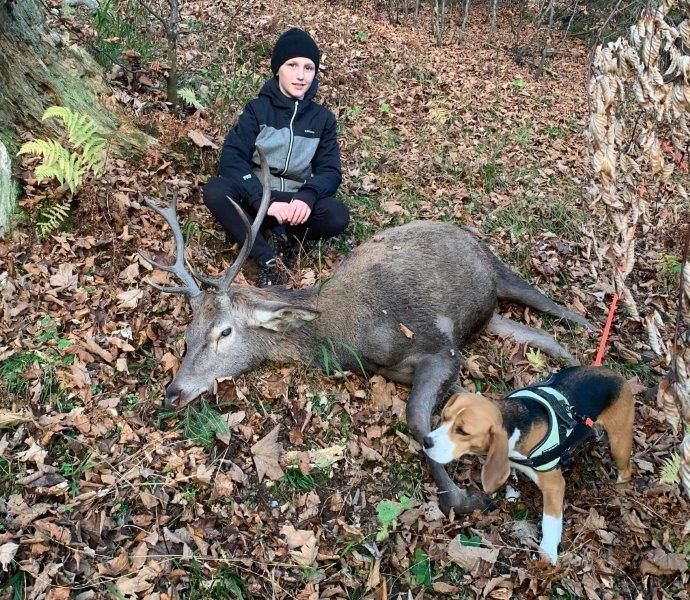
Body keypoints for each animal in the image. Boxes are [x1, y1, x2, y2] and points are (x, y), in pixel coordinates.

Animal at [140, 148, 592, 512]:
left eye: (224, 332)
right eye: (186, 338)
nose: (173, 393)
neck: (348, 337)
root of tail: (466, 232)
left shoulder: (439, 346)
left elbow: (417, 419)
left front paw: (464, 498)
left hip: (499, 270)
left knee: (555, 309)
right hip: (490, 314)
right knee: (544, 336)